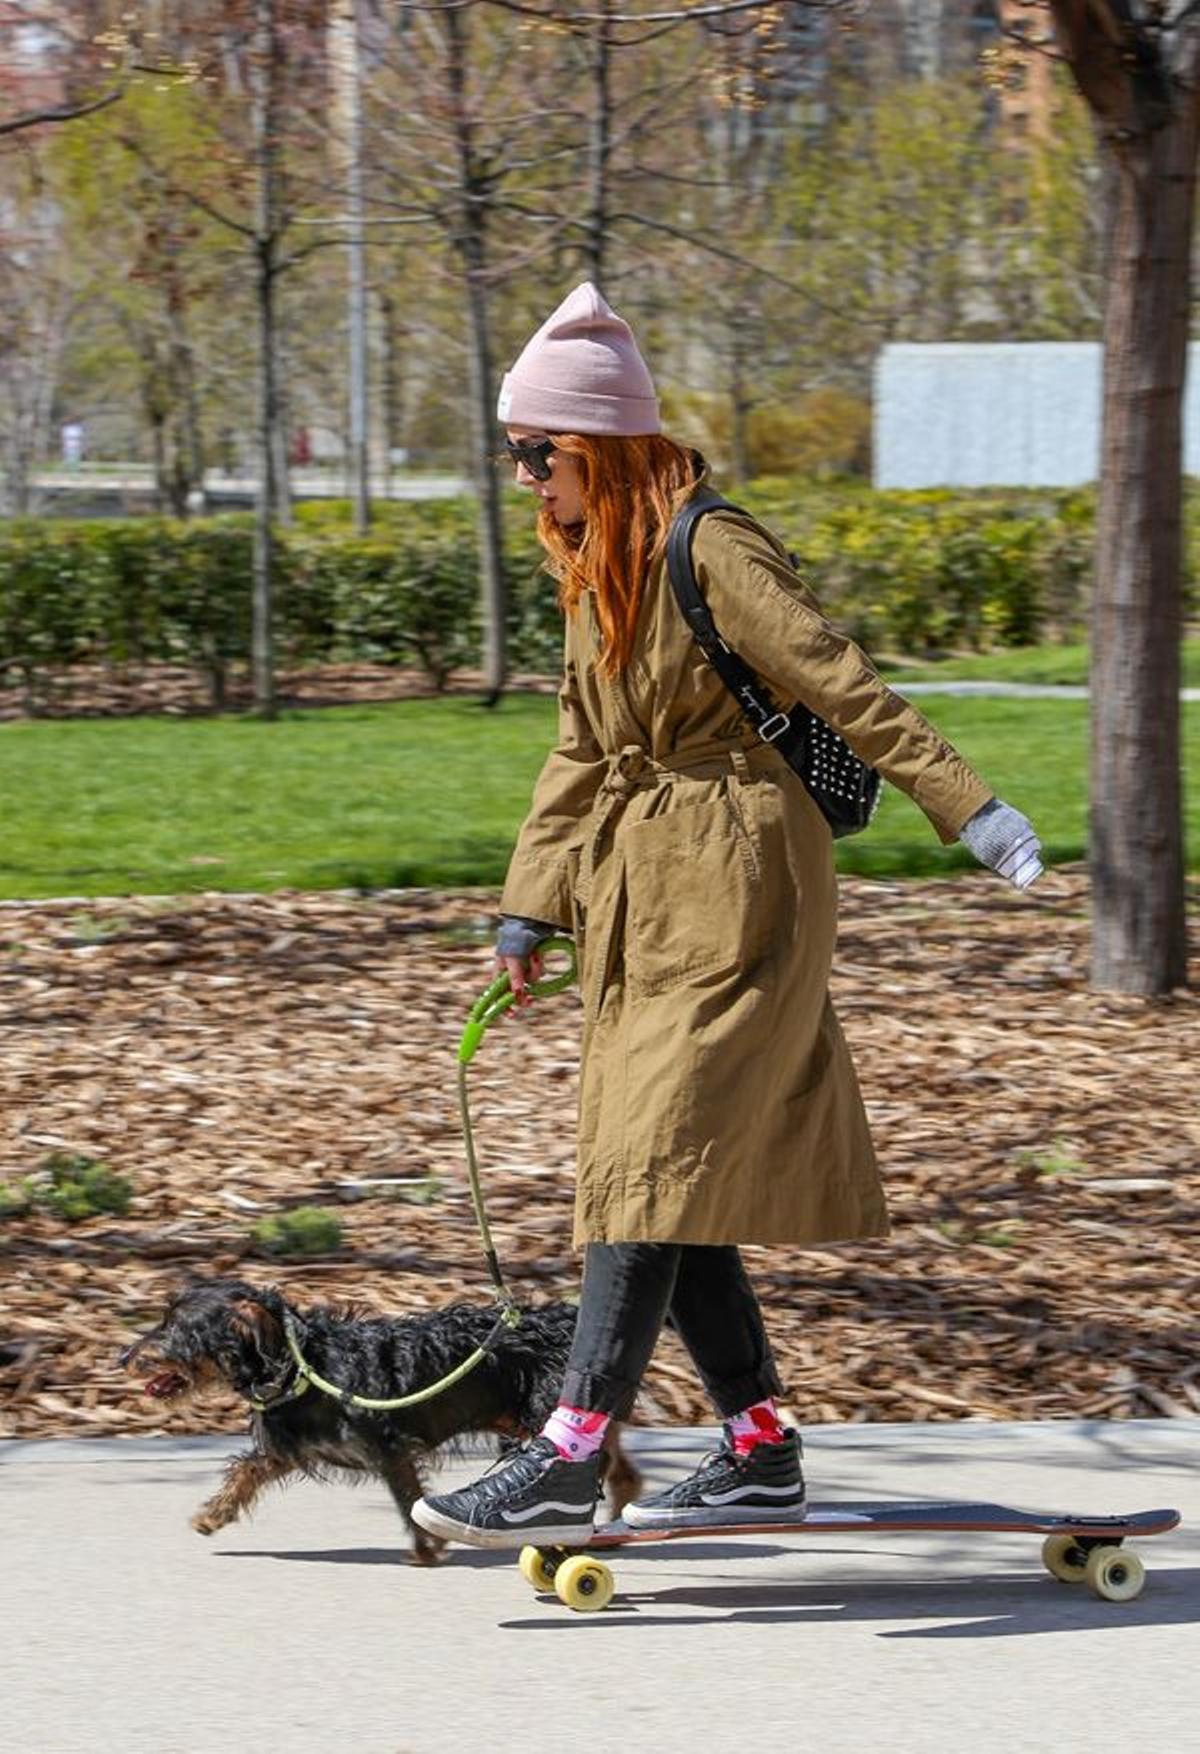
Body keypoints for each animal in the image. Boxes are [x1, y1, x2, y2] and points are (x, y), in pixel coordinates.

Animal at [121, 1276, 642, 1564]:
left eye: (176, 1329)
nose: (123, 1356)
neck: (305, 1364)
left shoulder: (389, 1449)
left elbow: (408, 1500)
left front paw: (427, 1551)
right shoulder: (290, 1446)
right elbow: (247, 1470)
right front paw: (213, 1514)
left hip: (540, 1414)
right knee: (622, 1469)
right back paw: (613, 1526)